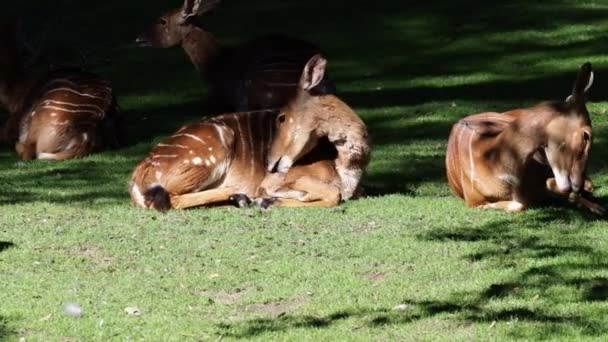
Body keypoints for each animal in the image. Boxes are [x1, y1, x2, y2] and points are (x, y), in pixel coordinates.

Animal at [129, 54, 370, 210]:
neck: (345, 166)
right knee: (170, 198)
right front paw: (265, 201)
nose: (270, 164)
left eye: (282, 117)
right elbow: (332, 194)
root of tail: (136, 180)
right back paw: (242, 197)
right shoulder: (279, 180)